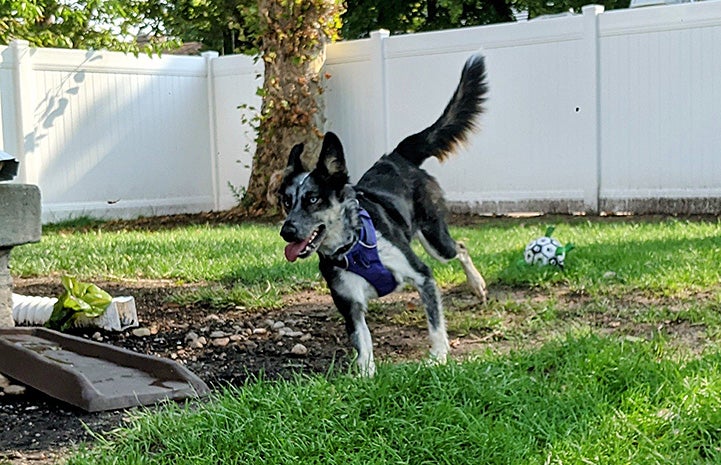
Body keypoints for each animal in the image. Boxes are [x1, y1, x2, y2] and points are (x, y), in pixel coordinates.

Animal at [278, 52, 486, 376]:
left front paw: (439, 356)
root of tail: (396, 156)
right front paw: (365, 377)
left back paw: (476, 284)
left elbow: (435, 324)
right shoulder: (350, 305)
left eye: (313, 199)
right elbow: (364, 345)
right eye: (287, 202)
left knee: (460, 247)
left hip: (435, 239)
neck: (353, 248)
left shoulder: (422, 275)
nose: (286, 232)